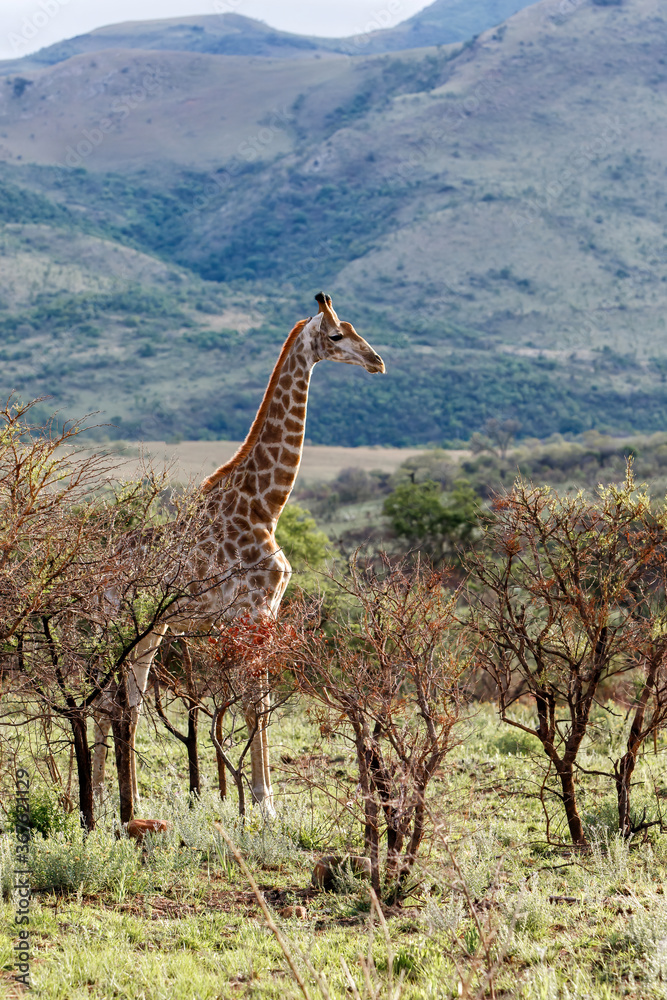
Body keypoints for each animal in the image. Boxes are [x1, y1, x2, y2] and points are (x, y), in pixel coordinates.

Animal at [93, 292, 385, 815]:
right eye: (336, 335)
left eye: (355, 327)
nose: (377, 361)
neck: (265, 506)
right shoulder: (254, 612)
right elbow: (255, 704)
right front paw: (265, 804)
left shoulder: (264, 614)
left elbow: (261, 702)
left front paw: (263, 800)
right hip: (115, 624)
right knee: (108, 702)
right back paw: (103, 801)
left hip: (148, 630)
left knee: (127, 701)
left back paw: (122, 802)